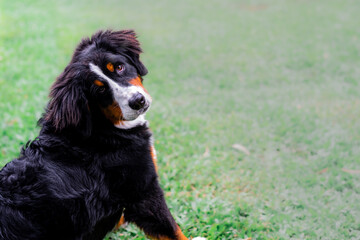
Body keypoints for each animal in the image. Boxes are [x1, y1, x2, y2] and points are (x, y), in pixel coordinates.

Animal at [0, 29, 204, 240]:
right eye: (100, 89)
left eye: (120, 67)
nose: (137, 101)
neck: (102, 128)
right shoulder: (143, 192)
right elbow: (172, 230)